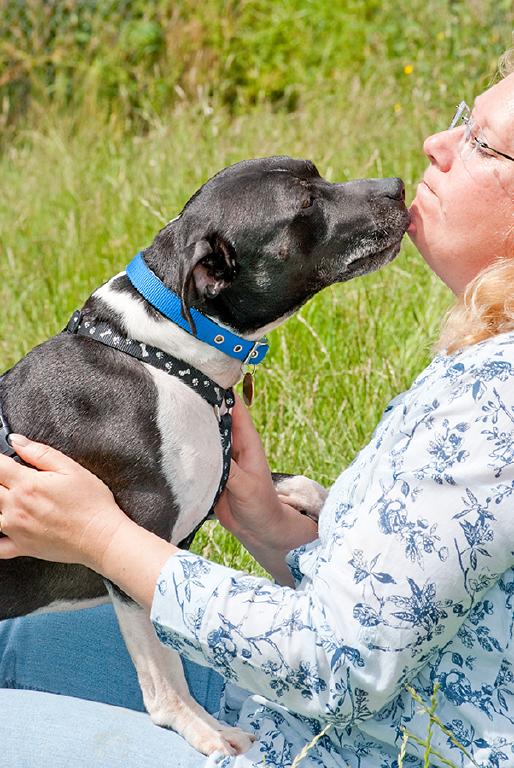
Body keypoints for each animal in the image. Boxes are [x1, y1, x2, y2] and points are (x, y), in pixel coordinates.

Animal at [0, 156, 408, 756]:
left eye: (316, 172)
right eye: (305, 203)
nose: (398, 186)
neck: (164, 349)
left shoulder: (219, 484)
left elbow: (302, 484)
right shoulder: (136, 545)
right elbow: (163, 667)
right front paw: (201, 728)